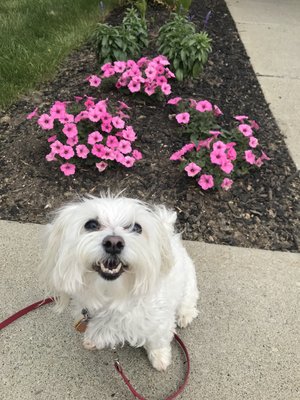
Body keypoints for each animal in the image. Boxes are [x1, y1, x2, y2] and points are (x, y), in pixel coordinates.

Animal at [40, 195, 199, 370]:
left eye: (136, 227)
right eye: (91, 225)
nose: (114, 243)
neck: (113, 297)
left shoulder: (160, 322)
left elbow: (158, 341)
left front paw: (160, 357)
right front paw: (92, 340)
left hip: (189, 284)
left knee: (188, 301)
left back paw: (185, 315)